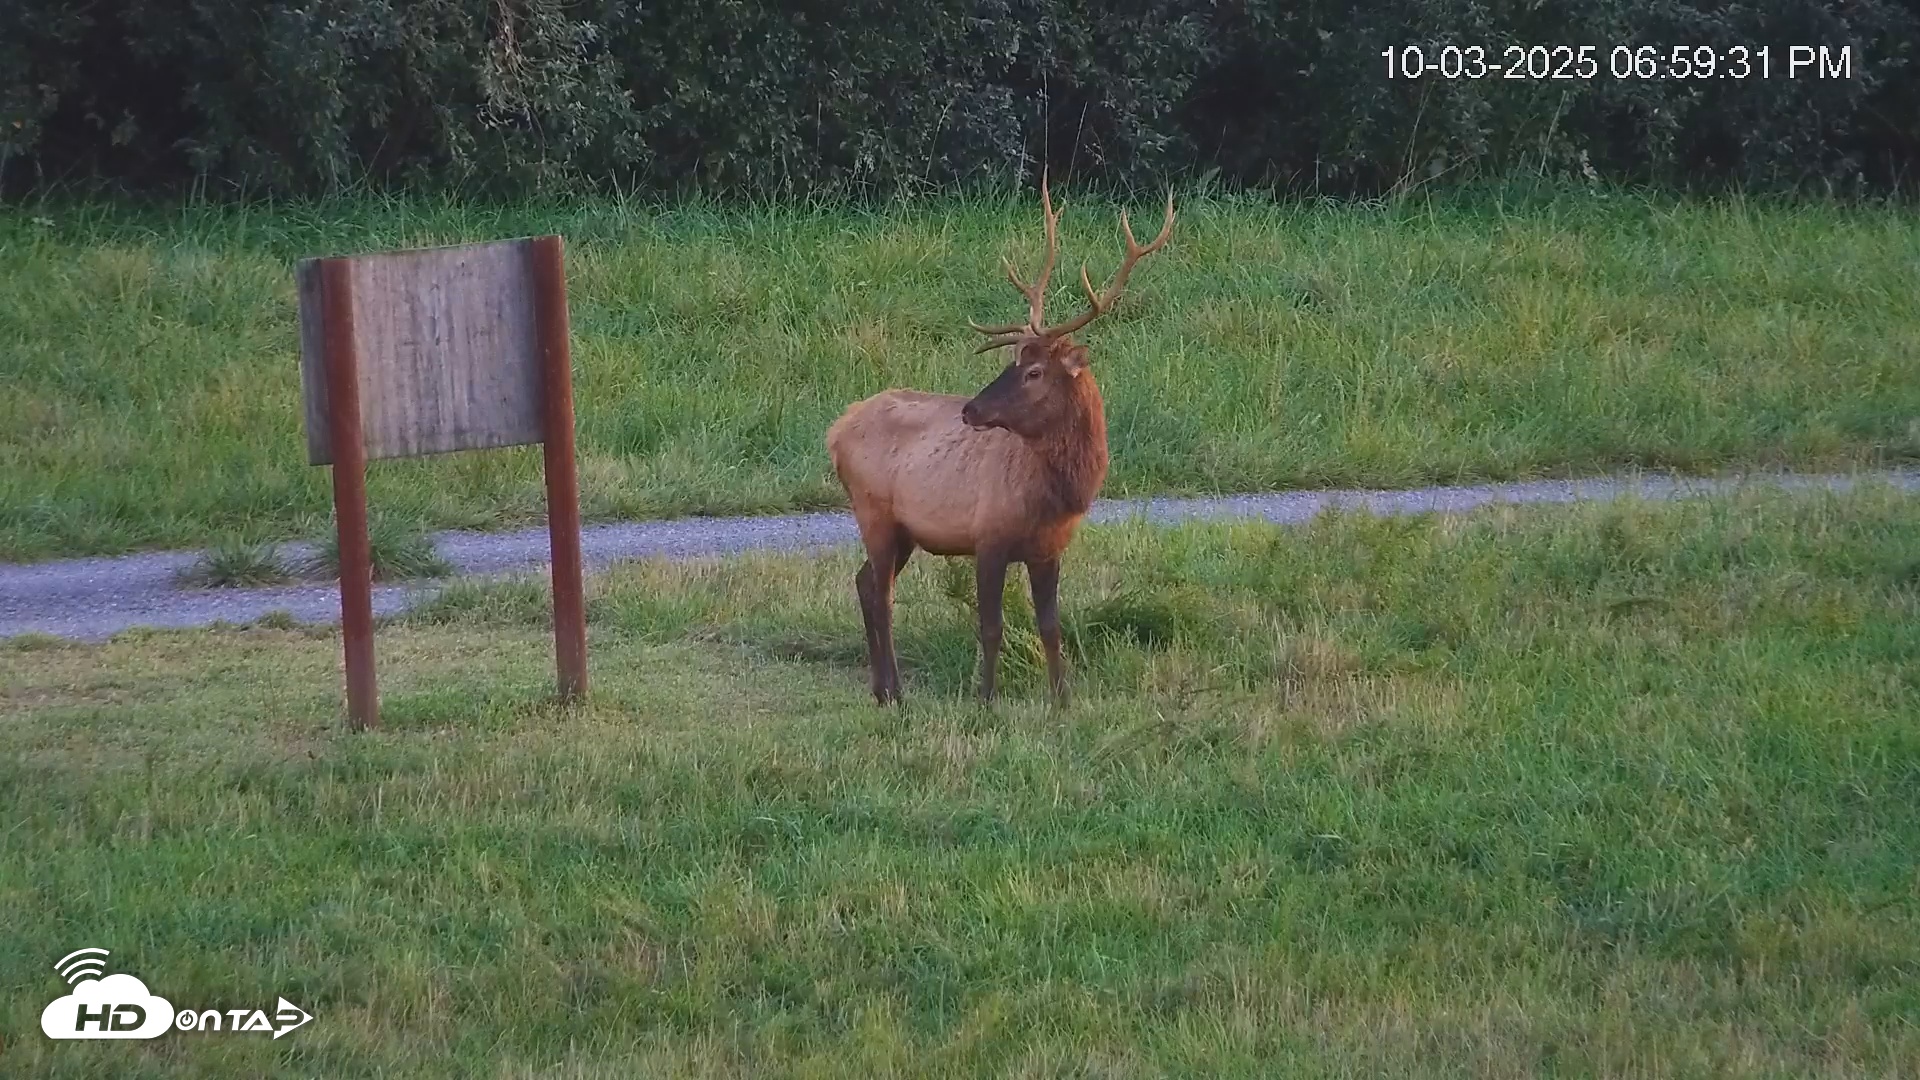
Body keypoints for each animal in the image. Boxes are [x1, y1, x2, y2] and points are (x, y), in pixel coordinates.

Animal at [825, 173, 1175, 706]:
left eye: (1033, 371)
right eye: (1014, 362)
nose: (970, 409)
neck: (1054, 498)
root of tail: (836, 430)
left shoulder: (1049, 549)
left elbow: (1050, 625)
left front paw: (1061, 700)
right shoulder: (987, 536)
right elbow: (991, 627)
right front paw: (986, 699)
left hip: (903, 530)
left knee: (865, 582)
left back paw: (883, 690)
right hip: (873, 510)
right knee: (880, 593)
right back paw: (895, 692)